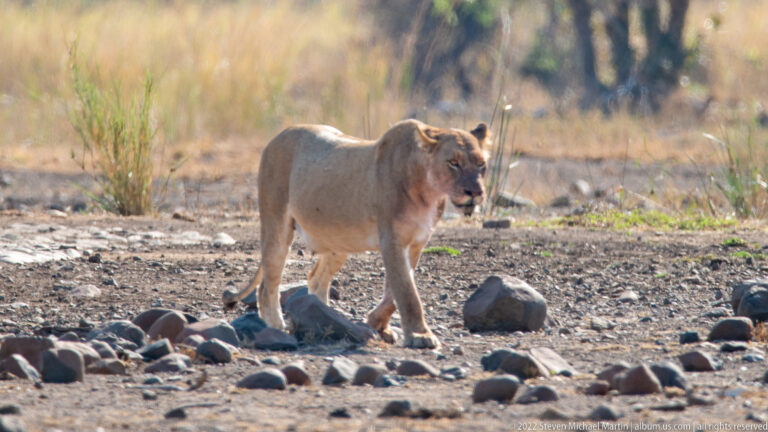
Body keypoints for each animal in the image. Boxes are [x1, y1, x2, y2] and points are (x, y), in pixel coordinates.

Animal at [222, 119, 488, 348]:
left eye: (481, 165)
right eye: (453, 163)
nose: (475, 192)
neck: (428, 192)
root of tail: (278, 136)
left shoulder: (416, 242)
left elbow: (394, 292)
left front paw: (378, 325)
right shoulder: (391, 239)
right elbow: (407, 292)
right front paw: (420, 336)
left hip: (338, 241)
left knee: (316, 278)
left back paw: (323, 317)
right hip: (276, 224)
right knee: (267, 284)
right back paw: (277, 326)